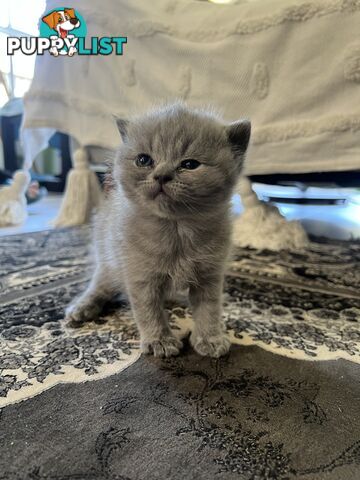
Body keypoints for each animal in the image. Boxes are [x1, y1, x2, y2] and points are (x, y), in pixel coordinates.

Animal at [65, 103, 250, 358]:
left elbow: (209, 310)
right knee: (100, 284)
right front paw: (159, 341)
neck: (176, 229)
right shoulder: (140, 275)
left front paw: (210, 339)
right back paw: (82, 307)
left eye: (190, 164)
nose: (162, 175)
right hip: (109, 260)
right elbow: (148, 311)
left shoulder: (210, 275)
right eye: (144, 160)